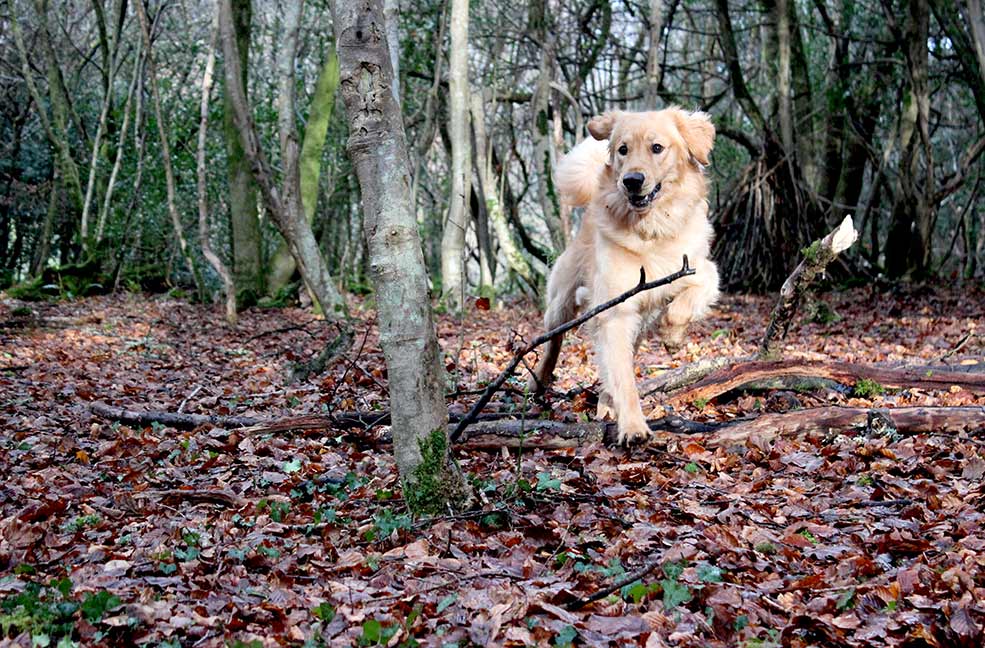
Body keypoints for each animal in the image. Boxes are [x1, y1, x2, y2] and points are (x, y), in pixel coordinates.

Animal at [532, 110, 716, 446]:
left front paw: (672, 337)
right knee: (553, 341)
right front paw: (632, 426)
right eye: (622, 149)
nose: (631, 181)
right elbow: (624, 379)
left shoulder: (702, 269)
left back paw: (605, 403)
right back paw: (538, 381)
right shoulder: (615, 311)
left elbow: (689, 299)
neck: (652, 231)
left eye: (657, 148)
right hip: (561, 301)